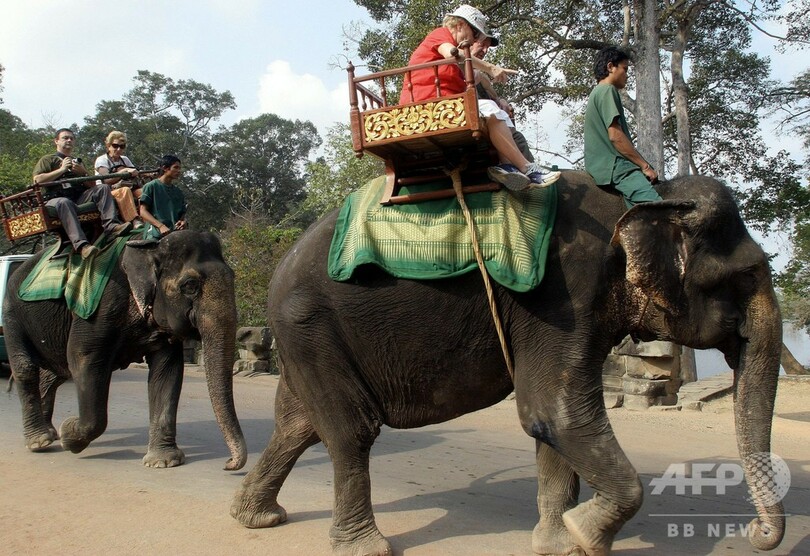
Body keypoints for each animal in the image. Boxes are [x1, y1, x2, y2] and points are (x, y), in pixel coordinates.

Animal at [3, 229, 246, 470]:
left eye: (233, 277)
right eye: (190, 285)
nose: (228, 463)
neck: (150, 247)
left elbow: (167, 370)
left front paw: (163, 461)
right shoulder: (98, 309)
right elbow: (83, 359)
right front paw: (68, 434)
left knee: (55, 373)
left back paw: (49, 434)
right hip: (11, 313)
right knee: (27, 368)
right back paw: (40, 441)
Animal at [229, 172, 784, 552]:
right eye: (745, 276)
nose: (755, 531)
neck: (651, 193)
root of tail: (279, 268)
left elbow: (552, 422)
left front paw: (559, 543)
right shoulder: (563, 295)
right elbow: (554, 412)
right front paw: (585, 534)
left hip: (306, 335)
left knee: (297, 424)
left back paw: (255, 518)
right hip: (310, 325)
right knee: (350, 430)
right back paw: (365, 547)